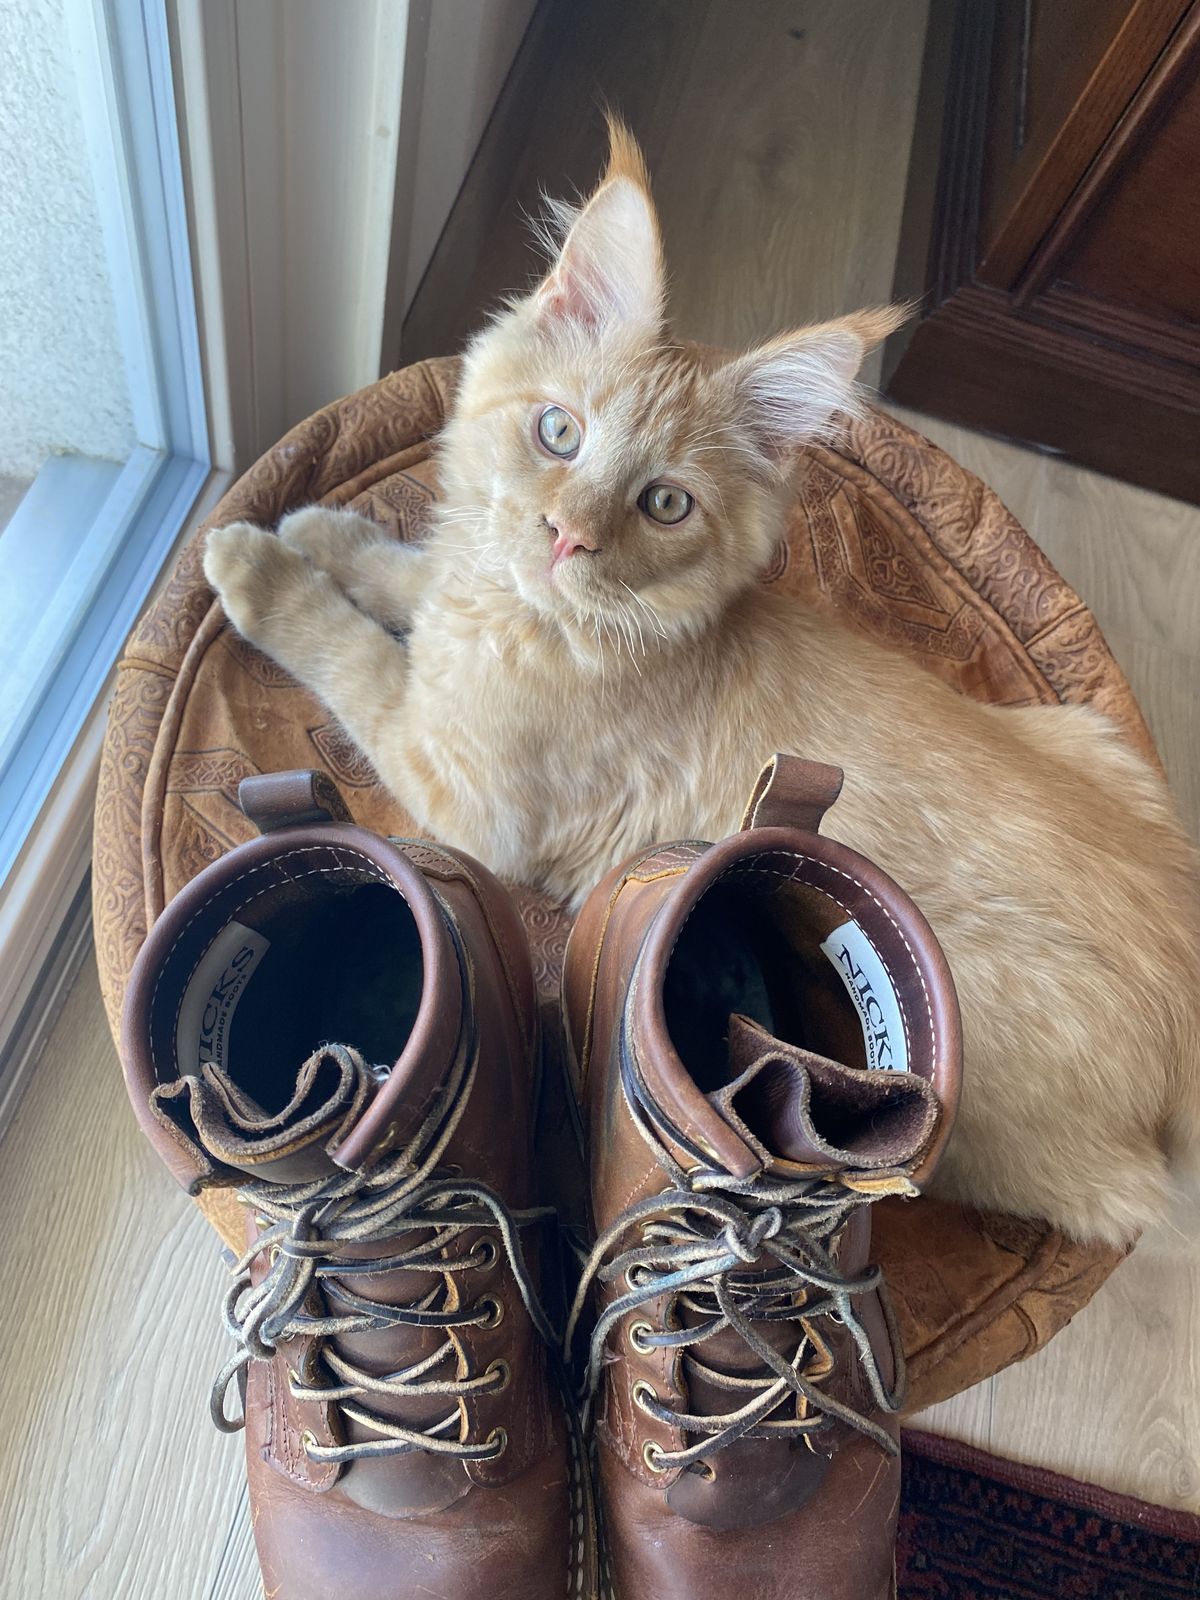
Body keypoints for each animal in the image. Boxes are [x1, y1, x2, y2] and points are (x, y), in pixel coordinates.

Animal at [202, 124, 1196, 1248]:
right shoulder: (462, 601)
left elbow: (355, 654)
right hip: (1088, 730)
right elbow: (414, 573)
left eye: (665, 503)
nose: (568, 536)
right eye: (558, 433)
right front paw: (329, 533)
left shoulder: (459, 787)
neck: (545, 622)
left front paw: (259, 565)